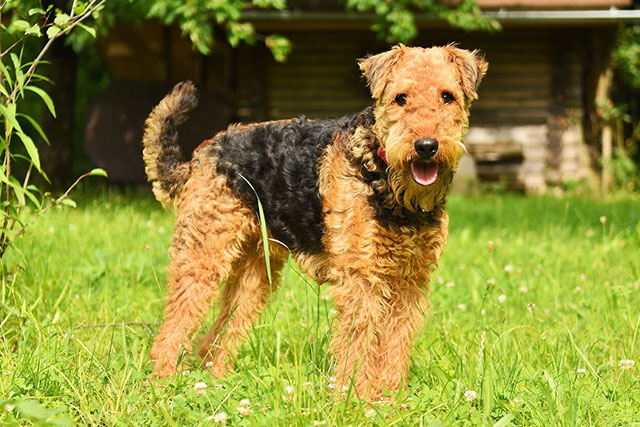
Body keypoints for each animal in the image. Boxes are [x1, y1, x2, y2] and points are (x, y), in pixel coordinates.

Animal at [142, 44, 488, 402]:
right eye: (400, 98)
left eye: (447, 96)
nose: (426, 147)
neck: (388, 182)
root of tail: (199, 157)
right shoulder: (361, 277)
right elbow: (359, 342)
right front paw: (357, 399)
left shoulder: (410, 278)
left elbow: (395, 342)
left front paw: (391, 399)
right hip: (203, 254)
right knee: (174, 327)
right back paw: (164, 382)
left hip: (255, 273)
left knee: (219, 333)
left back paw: (217, 382)